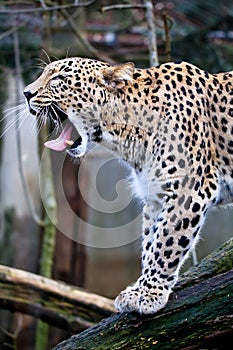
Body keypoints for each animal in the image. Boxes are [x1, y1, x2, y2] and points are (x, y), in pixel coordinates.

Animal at [23, 57, 233, 314]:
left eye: (58, 79)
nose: (26, 93)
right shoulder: (155, 196)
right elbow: (151, 242)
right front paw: (140, 289)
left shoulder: (190, 188)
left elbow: (166, 242)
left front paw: (149, 292)